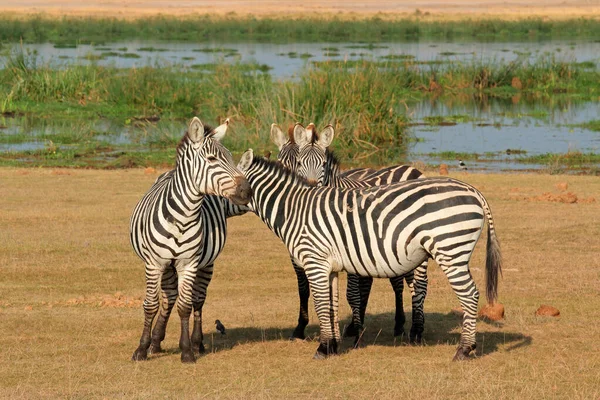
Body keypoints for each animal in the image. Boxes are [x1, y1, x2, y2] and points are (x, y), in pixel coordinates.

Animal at [130, 116, 252, 362]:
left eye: (231, 157)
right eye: (212, 159)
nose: (247, 190)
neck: (183, 217)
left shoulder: (189, 264)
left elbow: (185, 306)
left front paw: (186, 350)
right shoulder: (154, 263)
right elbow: (151, 305)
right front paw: (141, 348)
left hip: (206, 264)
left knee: (197, 299)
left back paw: (197, 343)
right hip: (167, 266)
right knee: (168, 298)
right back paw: (155, 341)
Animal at [237, 148, 504, 360]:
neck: (295, 209)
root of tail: (472, 190)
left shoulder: (315, 261)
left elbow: (321, 304)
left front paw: (322, 349)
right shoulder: (329, 267)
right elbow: (332, 304)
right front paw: (333, 346)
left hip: (450, 251)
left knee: (468, 295)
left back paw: (463, 349)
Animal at [278, 122, 428, 344]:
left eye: (323, 164)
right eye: (297, 162)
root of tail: (410, 167)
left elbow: (351, 293)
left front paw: (355, 333)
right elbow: (305, 288)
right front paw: (301, 329)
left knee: (415, 283)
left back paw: (413, 328)